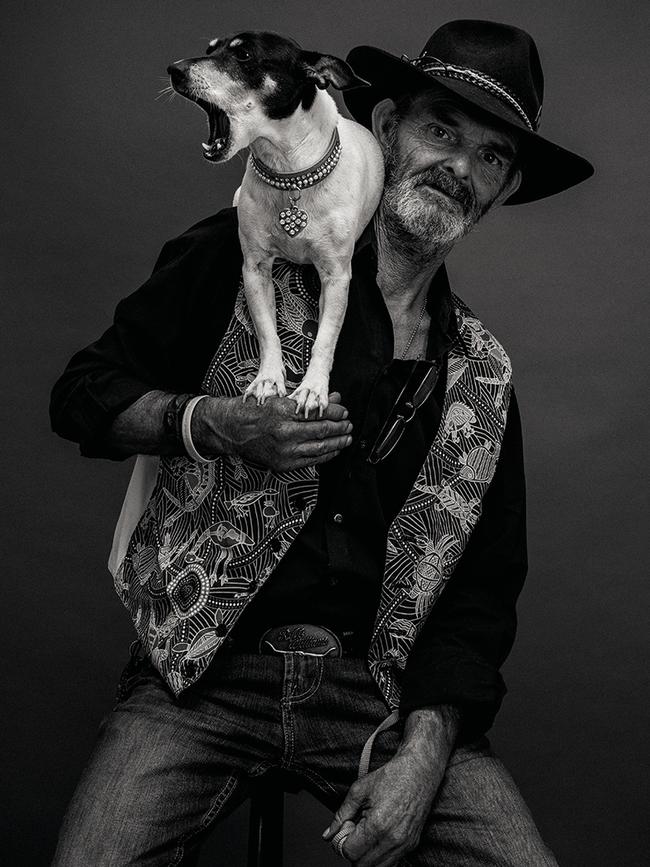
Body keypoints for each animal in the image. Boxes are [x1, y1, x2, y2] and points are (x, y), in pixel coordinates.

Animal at [167, 30, 382, 418]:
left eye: (245, 56)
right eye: (210, 50)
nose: (174, 70)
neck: (290, 175)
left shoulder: (335, 276)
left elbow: (325, 338)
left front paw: (312, 389)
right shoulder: (255, 268)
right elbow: (268, 332)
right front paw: (268, 380)